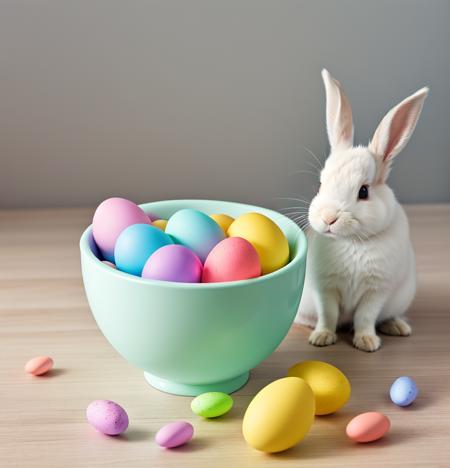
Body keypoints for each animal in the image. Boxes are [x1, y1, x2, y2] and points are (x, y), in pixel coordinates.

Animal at [296, 68, 428, 352]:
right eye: (321, 184)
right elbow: (328, 314)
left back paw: (398, 327)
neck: (352, 241)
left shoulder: (377, 291)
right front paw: (322, 338)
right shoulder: (325, 287)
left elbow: (365, 317)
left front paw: (367, 343)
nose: (328, 218)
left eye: (364, 192)